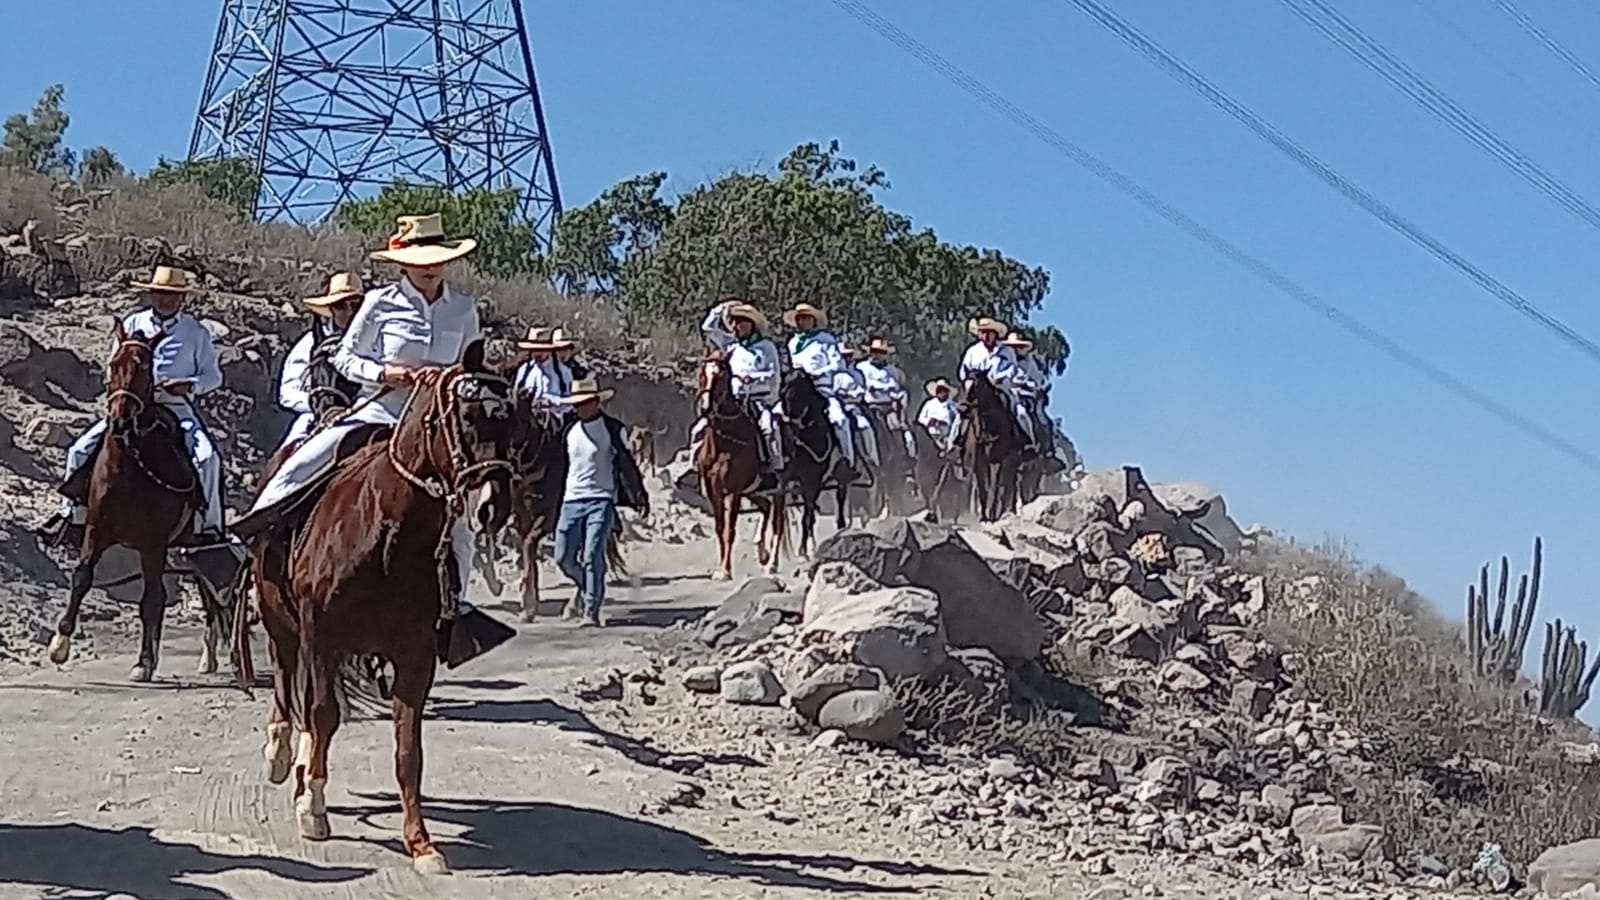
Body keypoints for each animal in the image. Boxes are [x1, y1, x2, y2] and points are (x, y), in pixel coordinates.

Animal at [233, 339, 512, 871]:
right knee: (286, 678)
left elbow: (408, 748)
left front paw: (420, 843)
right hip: (282, 619)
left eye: (511, 419)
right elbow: (323, 715)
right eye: (466, 415)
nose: (493, 506)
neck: (389, 536)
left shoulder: (415, 656)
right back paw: (282, 757)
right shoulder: (322, 637)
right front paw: (314, 810)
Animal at [694, 347, 787, 576]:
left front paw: (726, 570)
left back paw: (772, 564)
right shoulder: (714, 490)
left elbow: (730, 530)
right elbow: (720, 528)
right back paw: (762, 553)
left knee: (778, 524)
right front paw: (721, 568)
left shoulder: (733, 492)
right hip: (754, 490)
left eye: (721, 376)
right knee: (765, 507)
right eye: (702, 373)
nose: (706, 408)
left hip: (780, 491)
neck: (724, 443)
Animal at [774, 369, 851, 554]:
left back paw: (840, 523)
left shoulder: (811, 482)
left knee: (840, 492)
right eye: (784, 387)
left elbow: (806, 517)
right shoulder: (784, 481)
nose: (788, 419)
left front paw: (803, 548)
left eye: (801, 390)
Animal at [960, 373, 1024, 525]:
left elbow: (994, 489)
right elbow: (982, 488)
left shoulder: (997, 461)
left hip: (1011, 464)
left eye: (977, 385)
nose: (962, 409)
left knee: (1008, 488)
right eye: (963, 384)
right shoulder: (979, 462)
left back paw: (1006, 512)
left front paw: (992, 515)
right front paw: (984, 516)